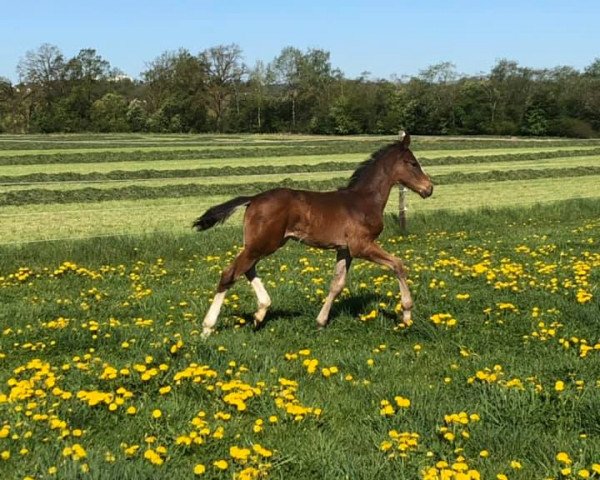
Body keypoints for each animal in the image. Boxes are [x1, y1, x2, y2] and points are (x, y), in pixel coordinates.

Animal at [195, 132, 434, 338]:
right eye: (413, 163)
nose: (429, 188)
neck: (364, 201)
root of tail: (252, 199)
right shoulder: (362, 246)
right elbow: (398, 265)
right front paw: (407, 314)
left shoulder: (345, 250)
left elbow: (337, 284)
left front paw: (320, 322)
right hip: (264, 244)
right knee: (230, 274)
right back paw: (208, 327)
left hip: (262, 244)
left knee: (246, 269)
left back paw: (260, 312)